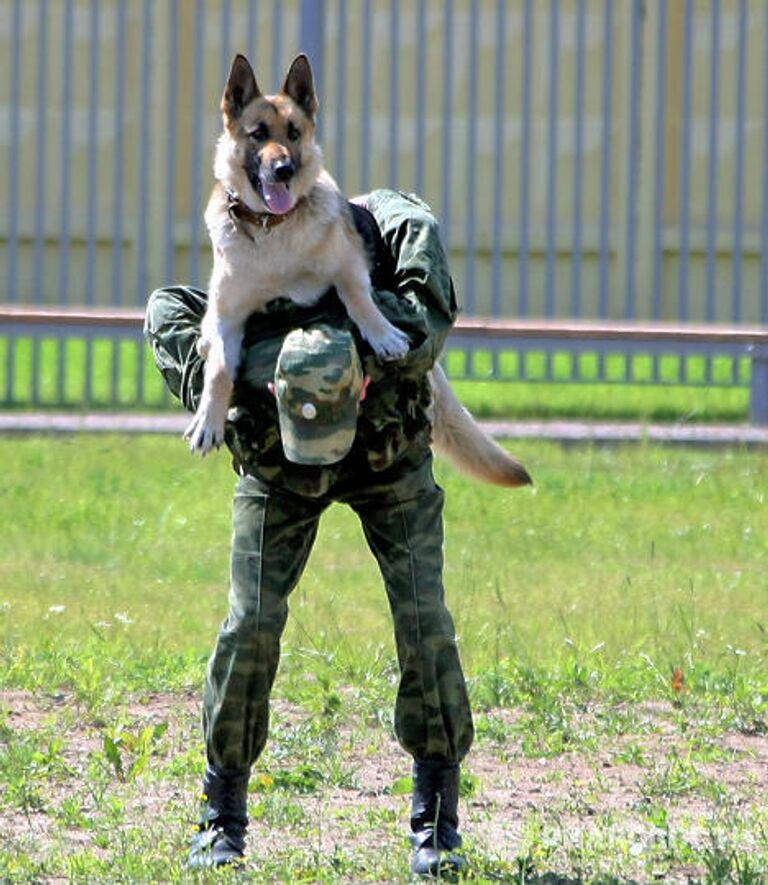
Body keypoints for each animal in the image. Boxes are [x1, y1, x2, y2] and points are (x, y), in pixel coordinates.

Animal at [189, 53, 532, 490]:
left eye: (294, 133)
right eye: (258, 133)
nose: (284, 169)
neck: (273, 230)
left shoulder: (349, 264)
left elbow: (357, 296)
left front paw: (383, 335)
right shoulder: (226, 317)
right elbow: (219, 368)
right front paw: (208, 421)